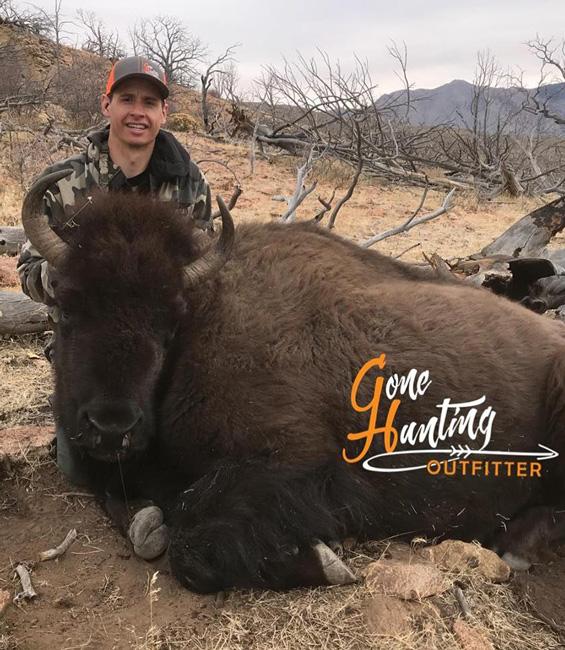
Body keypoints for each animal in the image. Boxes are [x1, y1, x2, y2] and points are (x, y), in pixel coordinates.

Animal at [22, 169, 565, 593]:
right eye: (65, 306)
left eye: (169, 321)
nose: (111, 427)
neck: (207, 316)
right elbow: (131, 510)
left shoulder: (293, 461)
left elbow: (191, 542)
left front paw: (329, 562)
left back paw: (512, 547)